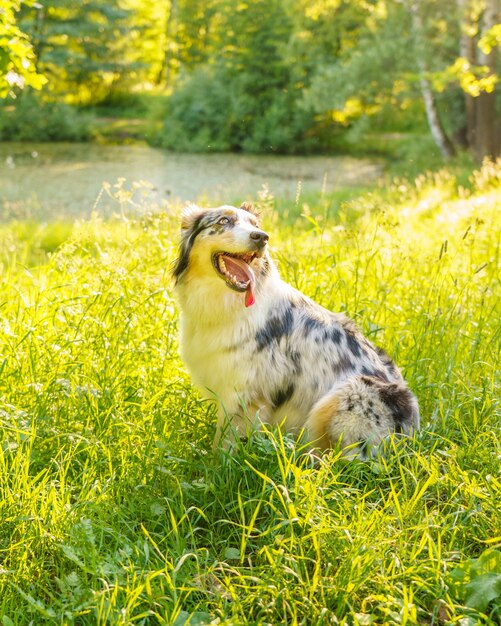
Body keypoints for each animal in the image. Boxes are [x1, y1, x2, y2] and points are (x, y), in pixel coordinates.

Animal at [172, 202, 418, 456]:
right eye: (223, 221)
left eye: (255, 225)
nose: (262, 237)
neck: (229, 304)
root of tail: (411, 438)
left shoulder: (244, 394)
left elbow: (227, 443)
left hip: (349, 393)